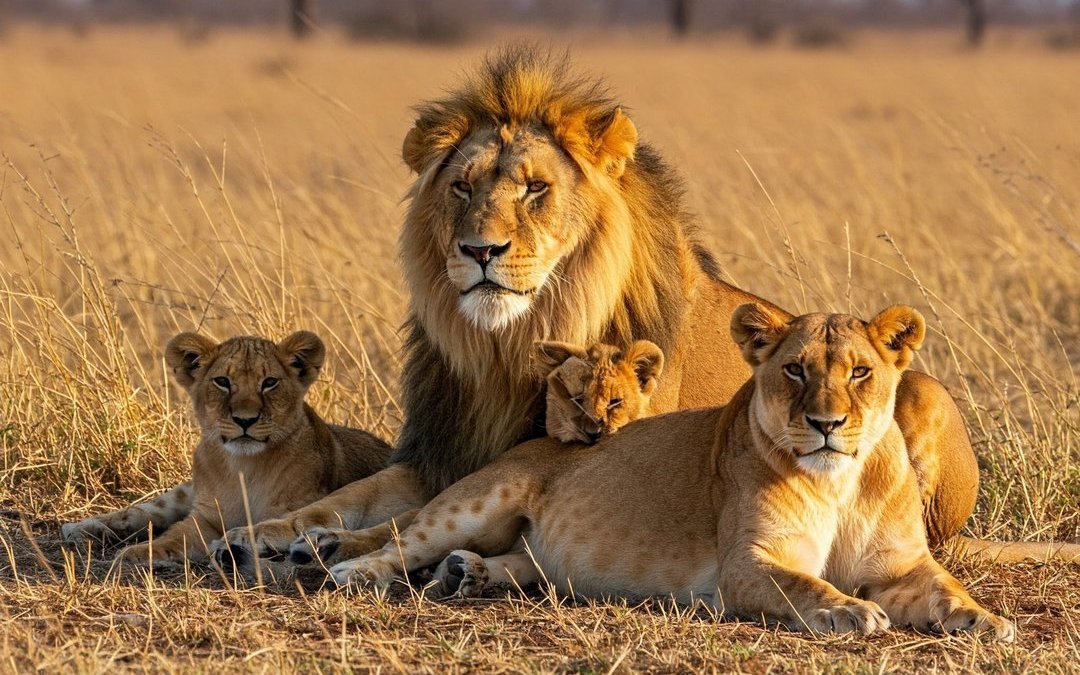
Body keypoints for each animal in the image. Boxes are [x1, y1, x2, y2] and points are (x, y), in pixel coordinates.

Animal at [62, 331, 391, 565]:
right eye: (222, 381)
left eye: (269, 382)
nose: (244, 419)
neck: (244, 468)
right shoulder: (205, 517)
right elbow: (176, 535)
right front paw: (141, 552)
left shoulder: (293, 507)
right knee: (148, 509)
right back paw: (84, 527)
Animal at [223, 46, 1071, 573]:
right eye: (461, 187)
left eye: (536, 188)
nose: (480, 250)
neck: (507, 347)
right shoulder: (440, 453)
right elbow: (346, 500)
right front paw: (257, 536)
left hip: (921, 395)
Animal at [326, 304, 1015, 641]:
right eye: (795, 370)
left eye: (860, 372)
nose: (826, 424)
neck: (839, 483)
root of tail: (535, 443)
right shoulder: (749, 564)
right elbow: (807, 587)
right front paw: (851, 611)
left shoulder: (903, 566)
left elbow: (948, 589)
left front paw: (986, 621)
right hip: (477, 499)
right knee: (402, 539)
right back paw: (348, 569)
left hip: (535, 552)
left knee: (523, 562)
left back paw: (467, 574)